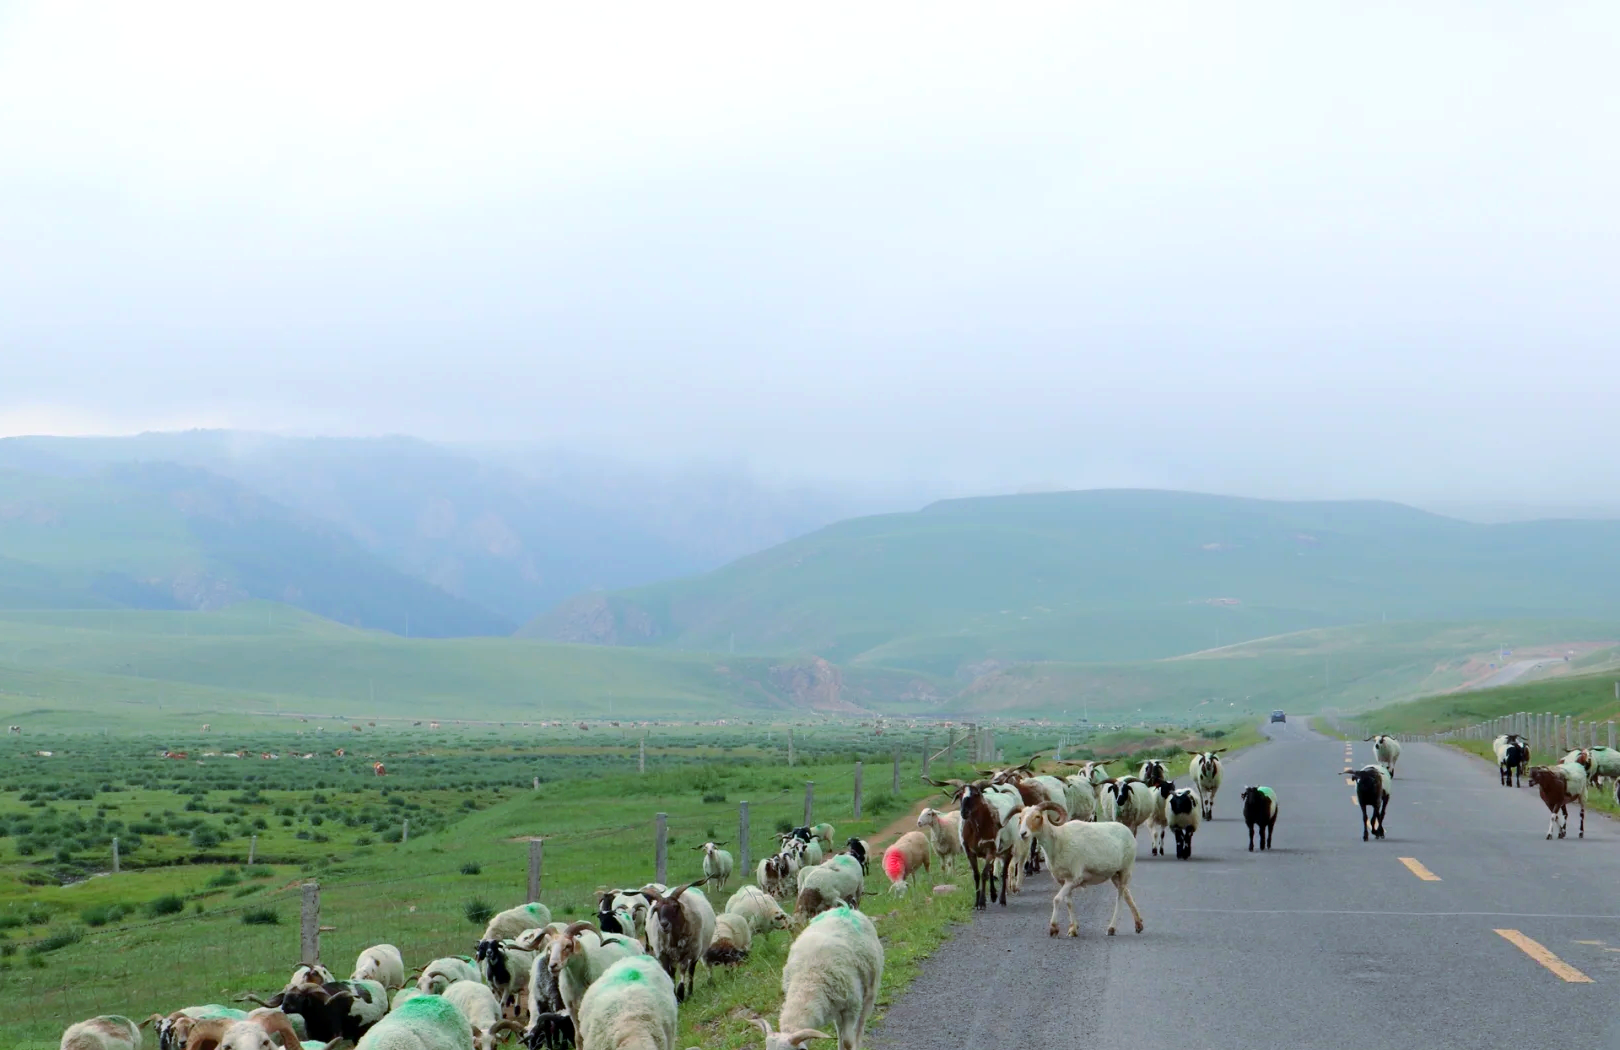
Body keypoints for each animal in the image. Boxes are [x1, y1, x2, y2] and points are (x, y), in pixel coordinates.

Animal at [751, 900, 881, 1050]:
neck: (809, 980)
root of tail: (845, 908)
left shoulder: (852, 1006)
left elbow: (848, 1041)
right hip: (837, 1005)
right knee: (839, 1028)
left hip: (870, 988)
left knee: (861, 1022)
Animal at [1017, 800, 1146, 939]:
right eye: (1020, 817)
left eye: (1037, 816)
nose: (1022, 833)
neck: (1059, 841)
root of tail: (1127, 830)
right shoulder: (1062, 880)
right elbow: (1068, 902)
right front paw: (1073, 929)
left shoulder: (1074, 879)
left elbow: (1057, 899)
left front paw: (1054, 928)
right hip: (1114, 874)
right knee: (1127, 894)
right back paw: (1138, 924)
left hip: (1125, 870)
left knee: (1120, 897)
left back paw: (1112, 928)